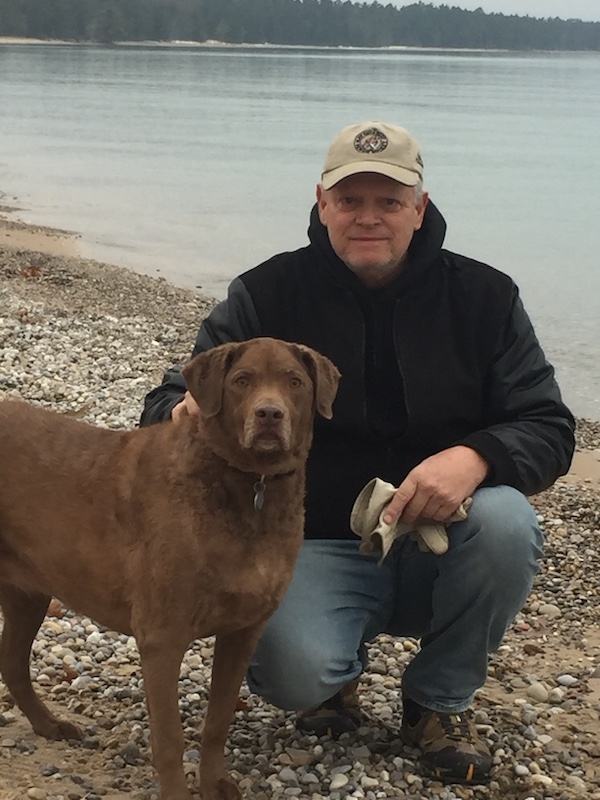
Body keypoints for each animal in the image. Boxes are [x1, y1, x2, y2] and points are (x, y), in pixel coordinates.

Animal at [0, 338, 338, 800]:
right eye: (241, 380)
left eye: (295, 382)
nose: (269, 414)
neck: (251, 486)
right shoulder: (162, 636)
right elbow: (170, 738)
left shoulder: (243, 632)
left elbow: (218, 720)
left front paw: (216, 783)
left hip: (29, 594)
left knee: (13, 662)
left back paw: (49, 724)